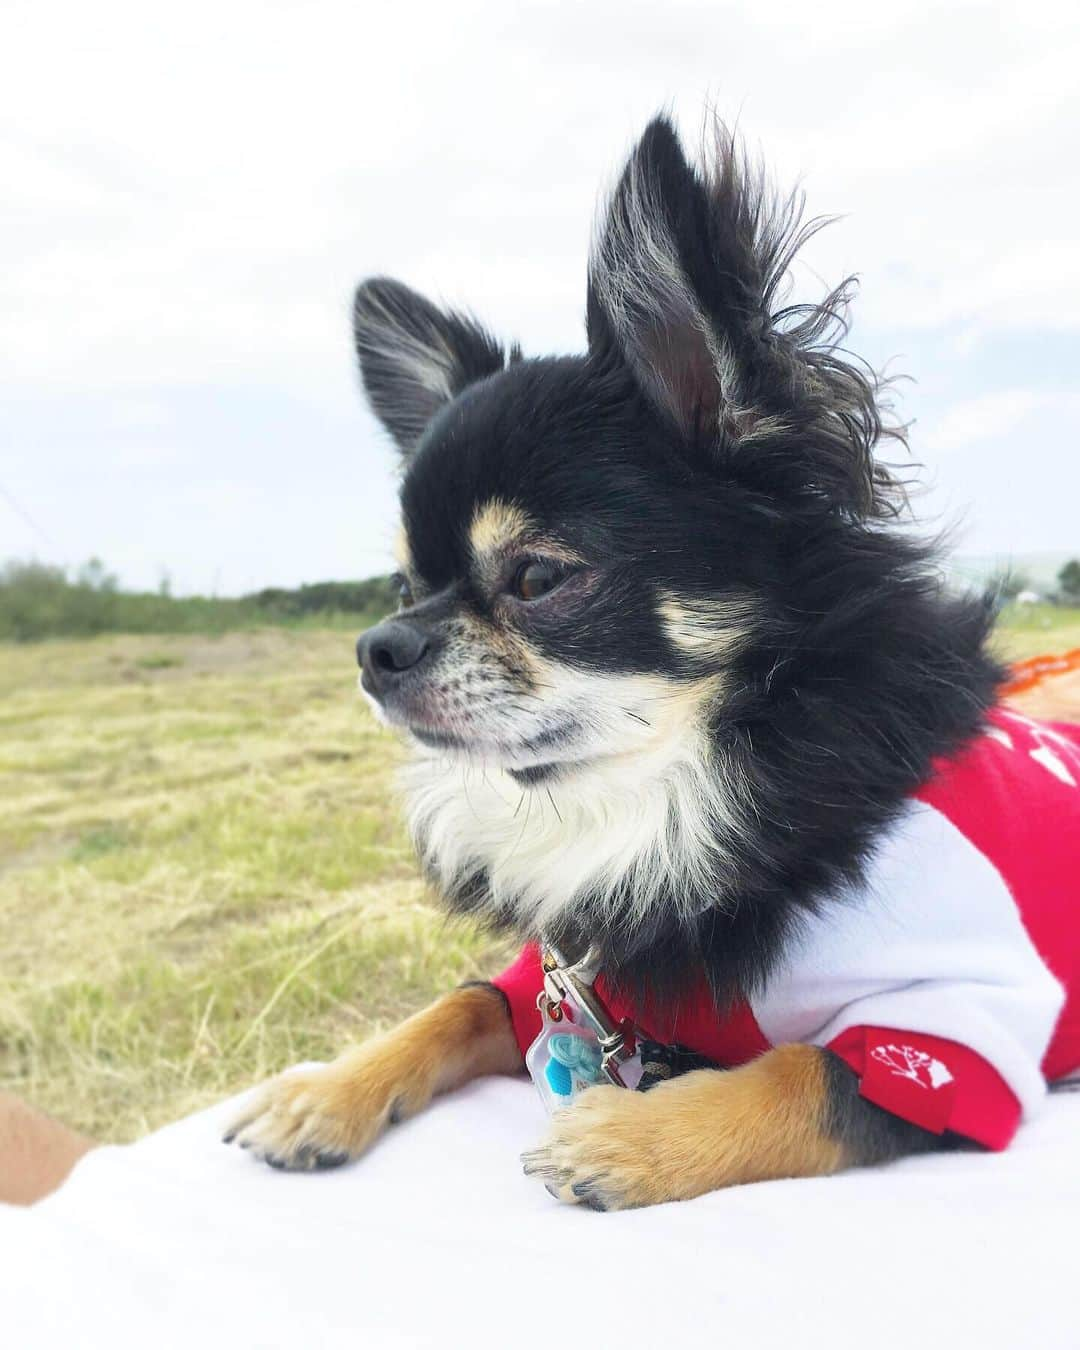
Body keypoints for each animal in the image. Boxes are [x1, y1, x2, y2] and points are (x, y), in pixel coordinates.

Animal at [225, 118, 1080, 1215]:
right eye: (404, 584)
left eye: (537, 576)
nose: (379, 646)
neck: (662, 793)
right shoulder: (560, 977)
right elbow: (458, 1004)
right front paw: (327, 1089)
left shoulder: (956, 1020)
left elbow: (801, 1074)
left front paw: (627, 1137)